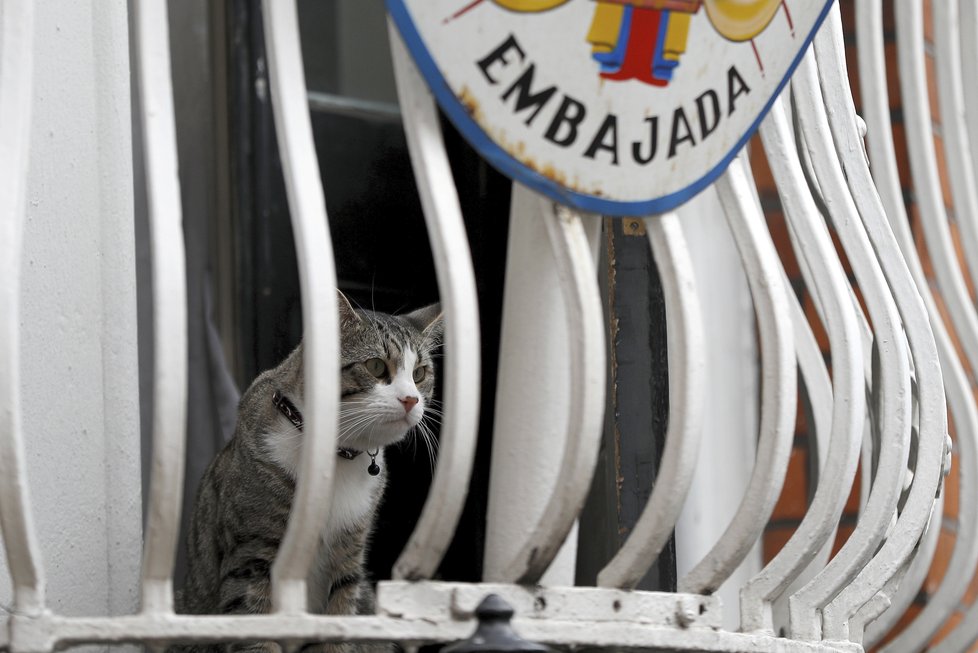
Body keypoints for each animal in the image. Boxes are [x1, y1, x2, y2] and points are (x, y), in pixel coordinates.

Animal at [177, 292, 444, 652]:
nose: (410, 400)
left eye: (419, 373)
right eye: (375, 366)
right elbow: (254, 624)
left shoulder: (350, 550)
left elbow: (340, 611)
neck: (335, 458)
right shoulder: (251, 556)